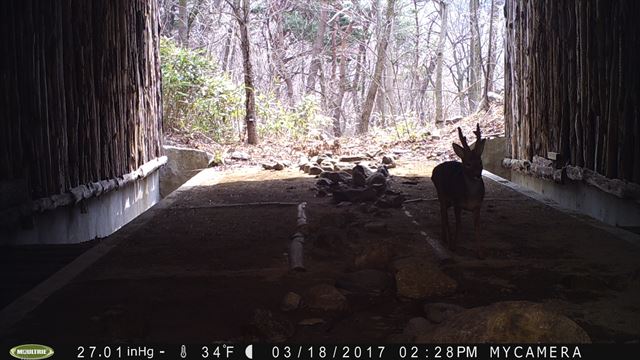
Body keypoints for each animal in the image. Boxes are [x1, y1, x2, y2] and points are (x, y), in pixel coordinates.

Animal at [432, 124, 488, 258]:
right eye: (468, 164)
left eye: (480, 162)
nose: (477, 175)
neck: (470, 197)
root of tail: (434, 171)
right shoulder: (457, 203)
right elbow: (459, 224)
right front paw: (453, 247)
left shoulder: (478, 205)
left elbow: (477, 226)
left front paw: (480, 253)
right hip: (441, 193)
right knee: (444, 214)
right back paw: (446, 239)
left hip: (448, 201)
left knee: (443, 212)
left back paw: (445, 237)